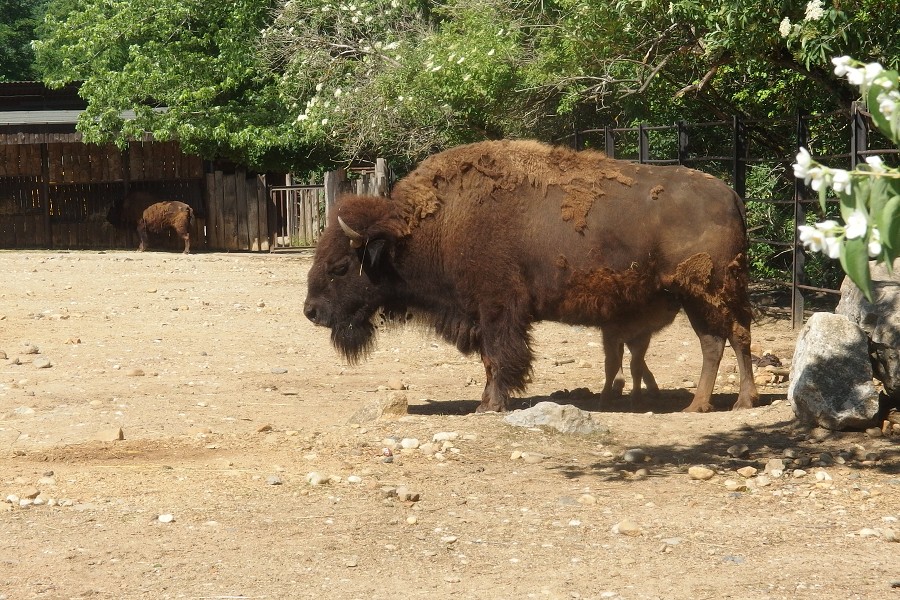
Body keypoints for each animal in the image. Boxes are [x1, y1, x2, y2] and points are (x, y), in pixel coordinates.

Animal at [302, 140, 760, 412]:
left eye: (340, 266)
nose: (311, 311)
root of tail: (731, 194)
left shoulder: (497, 310)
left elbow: (498, 357)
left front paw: (489, 405)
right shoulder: (484, 314)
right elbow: (490, 359)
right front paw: (486, 402)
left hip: (708, 292)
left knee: (727, 338)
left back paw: (722, 403)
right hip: (702, 295)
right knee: (723, 340)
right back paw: (718, 402)